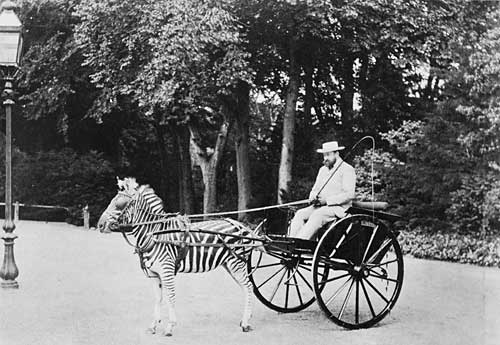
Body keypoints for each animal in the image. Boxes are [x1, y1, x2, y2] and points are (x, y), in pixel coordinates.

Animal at [95, 177, 264, 336]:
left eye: (120, 204)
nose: (100, 225)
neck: (154, 234)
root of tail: (240, 225)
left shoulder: (167, 270)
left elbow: (170, 296)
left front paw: (170, 327)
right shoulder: (153, 274)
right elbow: (158, 298)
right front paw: (153, 326)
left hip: (236, 263)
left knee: (249, 287)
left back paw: (246, 323)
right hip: (229, 265)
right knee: (245, 288)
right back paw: (245, 319)